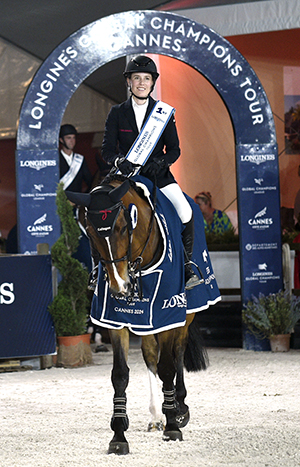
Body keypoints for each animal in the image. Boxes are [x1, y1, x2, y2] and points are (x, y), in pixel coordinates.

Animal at [66, 175, 207, 454]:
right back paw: (156, 417)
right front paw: (119, 436)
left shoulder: (167, 314)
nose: (119, 286)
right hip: (146, 322)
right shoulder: (116, 320)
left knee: (178, 352)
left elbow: (167, 368)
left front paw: (173, 425)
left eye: (122, 228)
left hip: (185, 315)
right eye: (90, 232)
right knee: (151, 355)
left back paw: (180, 409)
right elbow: (120, 375)